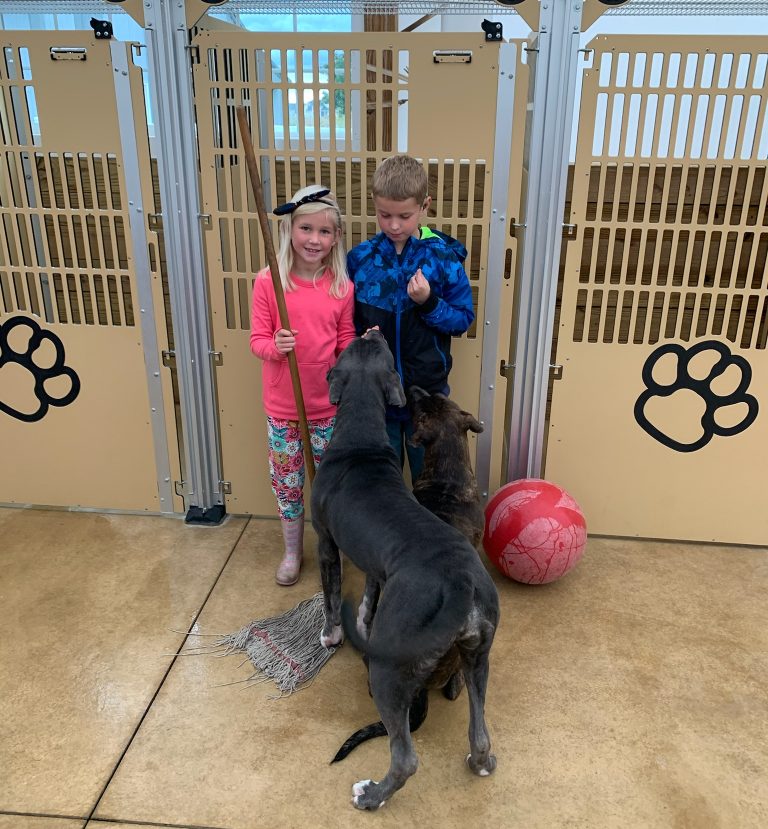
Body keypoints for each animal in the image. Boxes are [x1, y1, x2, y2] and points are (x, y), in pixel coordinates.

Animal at [308, 330, 500, 808]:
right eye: (369, 348)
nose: (372, 330)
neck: (359, 437)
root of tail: (463, 586)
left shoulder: (326, 542)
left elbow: (332, 595)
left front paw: (330, 634)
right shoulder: (377, 565)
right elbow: (366, 599)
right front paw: (360, 619)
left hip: (390, 669)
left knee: (406, 758)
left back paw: (371, 795)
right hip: (478, 656)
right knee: (480, 729)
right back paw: (480, 763)